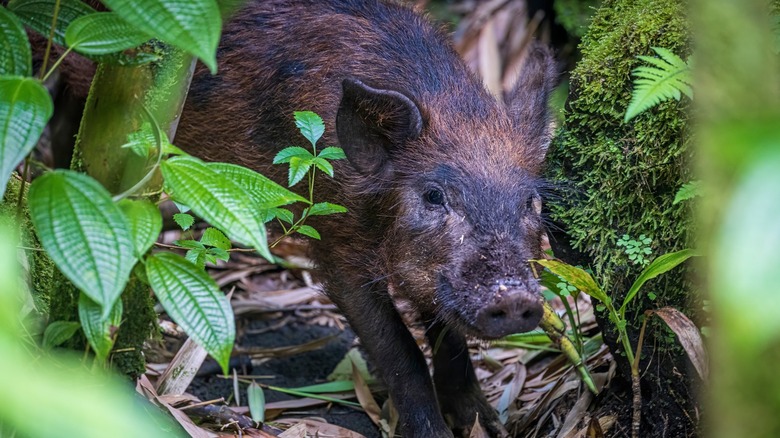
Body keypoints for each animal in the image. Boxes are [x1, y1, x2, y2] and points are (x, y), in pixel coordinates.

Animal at [178, 0, 556, 438]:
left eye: (529, 201)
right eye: (433, 196)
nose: (513, 297)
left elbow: (446, 333)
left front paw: (489, 426)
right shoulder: (337, 244)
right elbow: (399, 350)